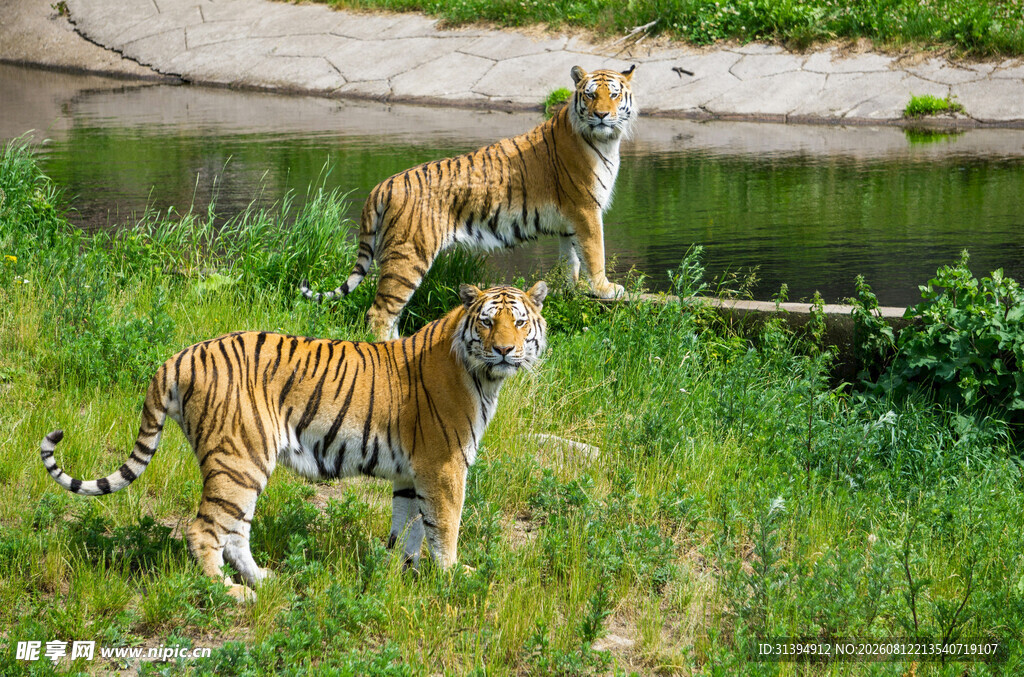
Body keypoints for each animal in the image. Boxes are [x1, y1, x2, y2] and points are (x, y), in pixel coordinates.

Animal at [40, 282, 548, 600]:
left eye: (520, 323)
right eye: (488, 322)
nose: (505, 350)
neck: (483, 377)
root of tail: (180, 356)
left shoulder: (411, 473)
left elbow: (408, 528)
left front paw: (404, 575)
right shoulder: (444, 466)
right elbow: (445, 526)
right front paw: (453, 577)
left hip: (241, 464)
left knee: (235, 530)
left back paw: (265, 580)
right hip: (239, 457)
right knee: (204, 529)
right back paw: (229, 593)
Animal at [301, 64, 637, 340]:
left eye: (614, 94)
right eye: (591, 95)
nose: (602, 115)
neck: (606, 140)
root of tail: (384, 184)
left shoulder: (570, 220)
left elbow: (572, 258)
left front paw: (572, 289)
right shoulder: (586, 209)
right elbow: (595, 251)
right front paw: (605, 288)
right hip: (407, 255)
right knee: (380, 312)